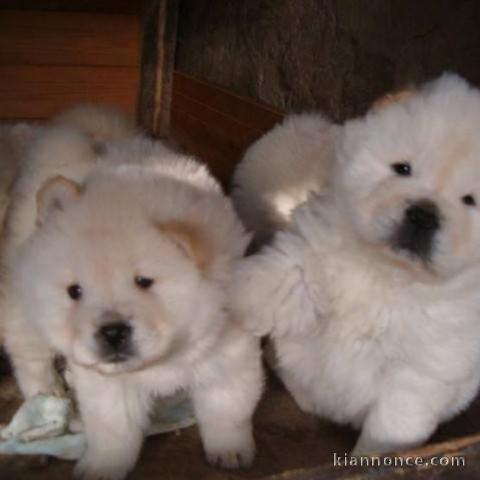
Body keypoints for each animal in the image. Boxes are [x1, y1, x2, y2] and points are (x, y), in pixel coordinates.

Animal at [6, 133, 262, 478]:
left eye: (144, 282)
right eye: (75, 291)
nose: (112, 332)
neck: (164, 358)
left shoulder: (230, 351)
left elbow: (227, 407)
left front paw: (230, 451)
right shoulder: (107, 384)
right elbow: (114, 429)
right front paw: (101, 468)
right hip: (22, 308)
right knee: (31, 359)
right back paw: (47, 397)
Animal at [232, 73, 480, 456]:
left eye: (469, 201)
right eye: (402, 169)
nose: (423, 215)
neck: (386, 271)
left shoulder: (418, 373)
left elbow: (391, 424)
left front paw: (375, 459)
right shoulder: (310, 253)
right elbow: (274, 281)